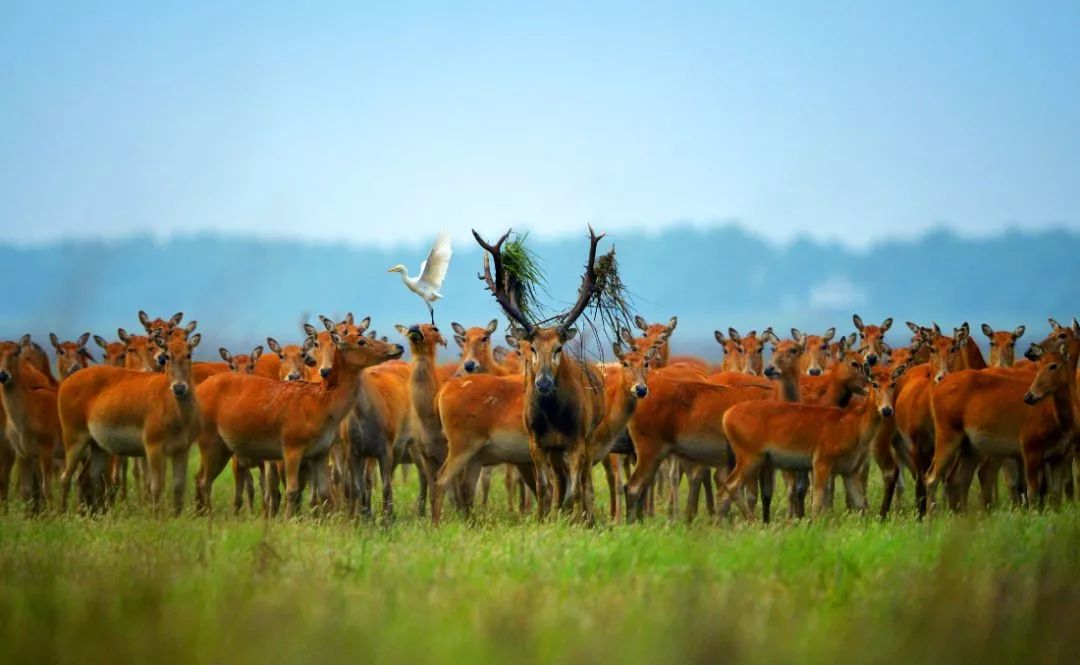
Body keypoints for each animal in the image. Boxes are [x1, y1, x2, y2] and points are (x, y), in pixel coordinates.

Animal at [57, 332, 203, 513]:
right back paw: (64, 514)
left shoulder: (182, 449)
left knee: (87, 477)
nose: (179, 388)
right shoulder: (153, 447)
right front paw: (157, 517)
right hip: (74, 438)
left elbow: (178, 488)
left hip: (99, 446)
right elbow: (156, 487)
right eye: (167, 356)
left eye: (189, 354)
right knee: (65, 477)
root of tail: (65, 383)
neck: (177, 416)